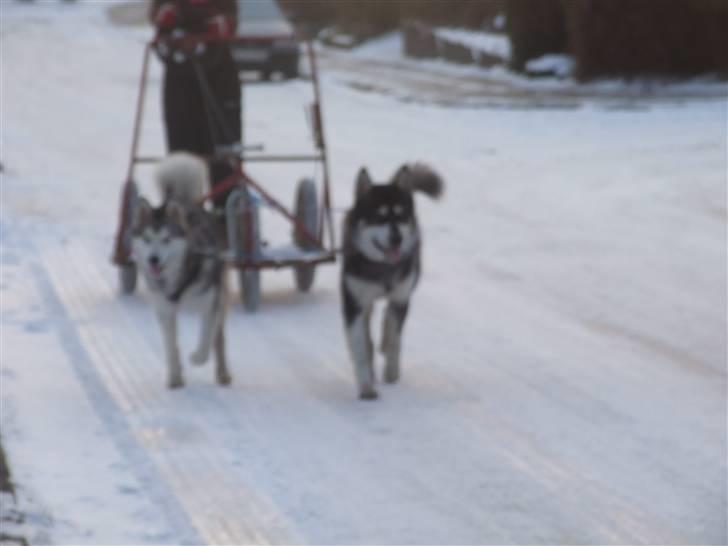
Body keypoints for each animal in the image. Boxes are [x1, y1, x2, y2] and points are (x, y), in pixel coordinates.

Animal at [131, 152, 231, 389]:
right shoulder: (164, 311)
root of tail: (185, 202)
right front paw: (175, 376)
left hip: (221, 296)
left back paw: (223, 373)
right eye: (147, 239)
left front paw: (196, 357)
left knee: (219, 340)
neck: (179, 282)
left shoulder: (211, 305)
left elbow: (206, 339)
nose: (153, 260)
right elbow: (170, 346)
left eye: (167, 239)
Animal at [341, 163, 444, 400]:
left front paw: (391, 372)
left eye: (401, 216)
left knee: (388, 319)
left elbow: (395, 339)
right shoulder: (354, 301)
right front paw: (366, 386)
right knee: (368, 328)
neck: (382, 268)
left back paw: (383, 343)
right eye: (378, 217)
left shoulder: (401, 296)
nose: (397, 239)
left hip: (403, 291)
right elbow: (360, 346)